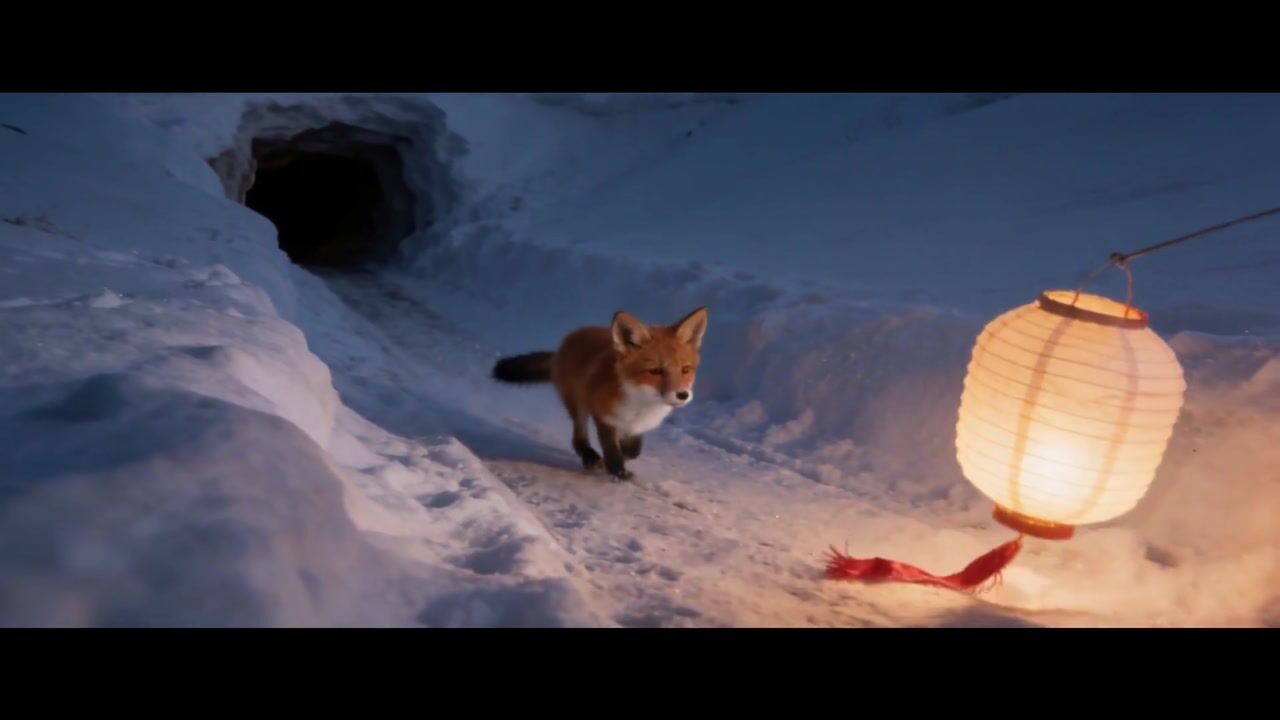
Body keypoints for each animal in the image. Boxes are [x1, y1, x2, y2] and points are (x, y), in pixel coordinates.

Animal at [491, 307, 708, 480]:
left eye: (685, 370)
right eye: (655, 371)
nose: (682, 395)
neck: (641, 404)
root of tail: (569, 339)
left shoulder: (637, 428)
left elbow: (633, 450)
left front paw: (616, 460)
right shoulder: (603, 415)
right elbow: (612, 449)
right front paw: (617, 471)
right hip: (578, 404)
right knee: (578, 436)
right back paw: (589, 456)